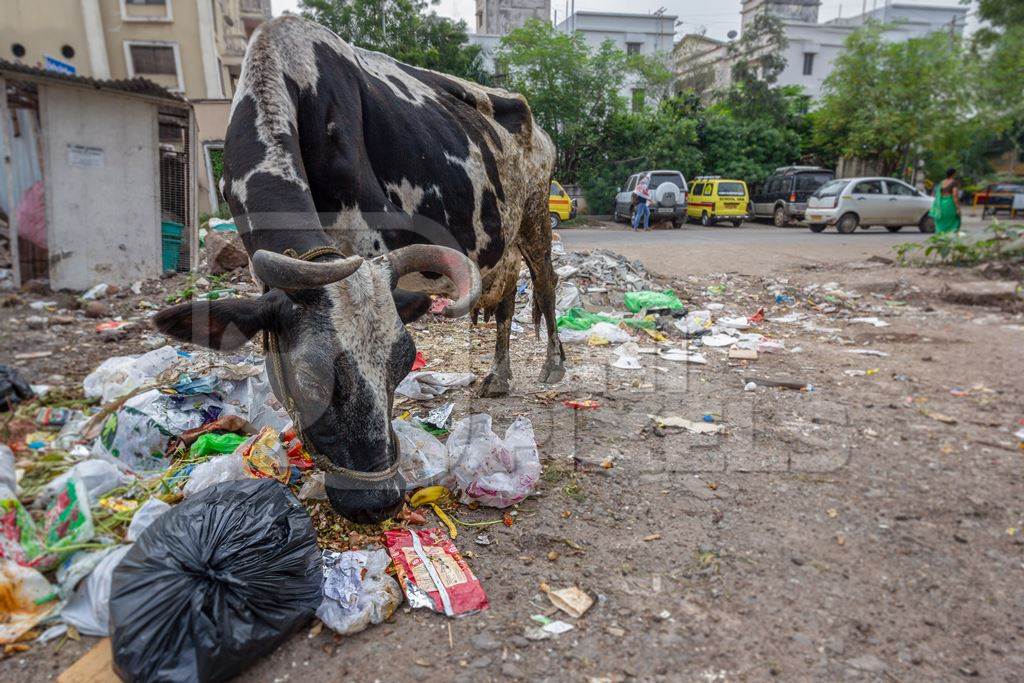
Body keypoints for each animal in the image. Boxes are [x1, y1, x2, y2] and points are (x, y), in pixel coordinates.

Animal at [155, 17, 565, 524]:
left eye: (403, 364)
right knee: (506, 298)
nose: (379, 501)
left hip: (535, 214)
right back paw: (499, 377)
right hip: (502, 241)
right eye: (311, 377)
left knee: (545, 283)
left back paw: (552, 365)